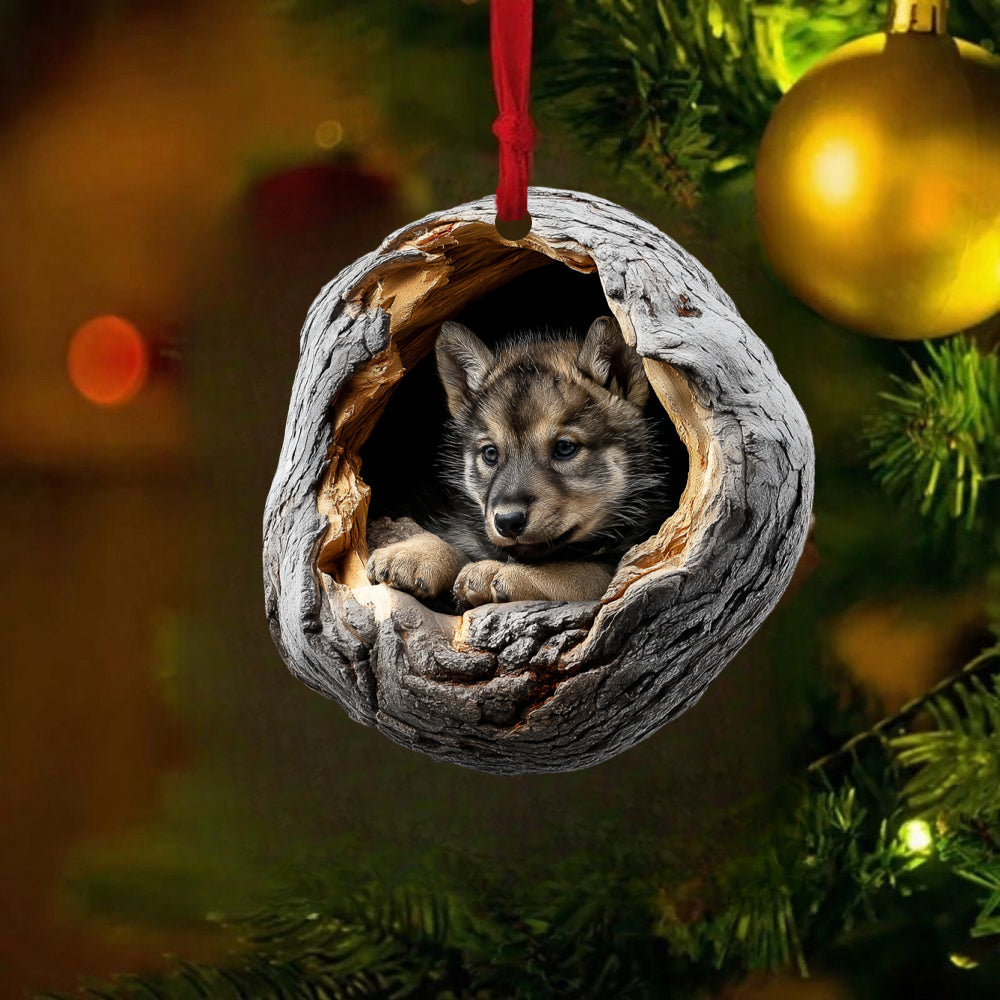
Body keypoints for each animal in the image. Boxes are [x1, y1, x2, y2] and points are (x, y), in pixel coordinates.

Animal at [365, 315, 669, 607]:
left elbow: (576, 571)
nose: (507, 522)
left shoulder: (620, 564)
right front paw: (415, 554)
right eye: (490, 453)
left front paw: (501, 572)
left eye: (564, 448)